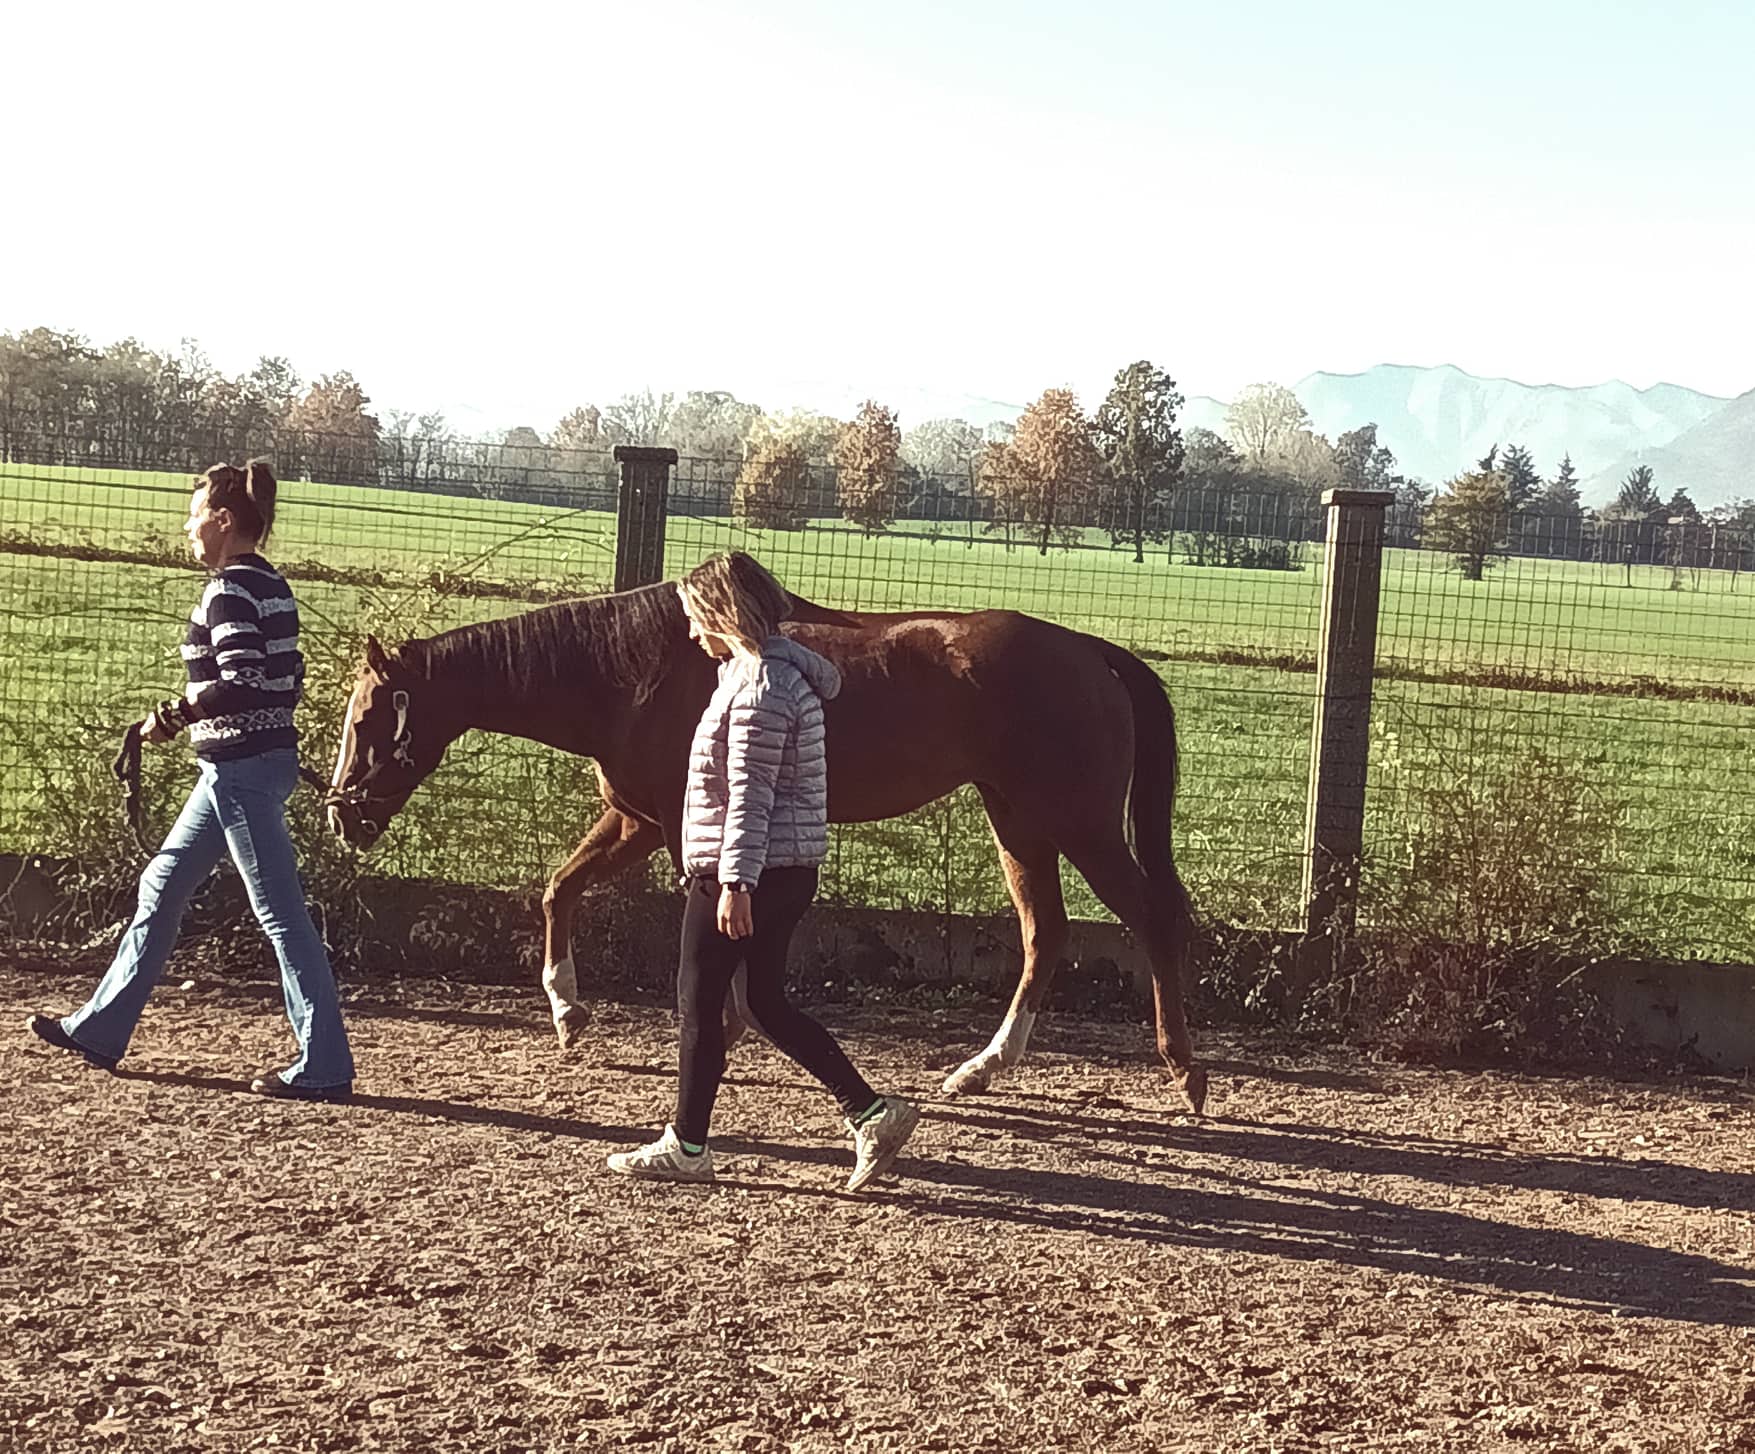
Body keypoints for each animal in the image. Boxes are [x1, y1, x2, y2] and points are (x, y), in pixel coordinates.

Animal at [324, 582, 1207, 1114]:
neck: (627, 672)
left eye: (367, 719)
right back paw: (982, 1067)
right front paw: (570, 1013)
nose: (340, 816)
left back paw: (1184, 1073)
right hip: (1017, 819)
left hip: (1078, 821)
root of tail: (1092, 651)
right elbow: (558, 889)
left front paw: (722, 1022)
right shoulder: (637, 819)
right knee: (1042, 932)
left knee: (1152, 917)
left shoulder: (673, 827)